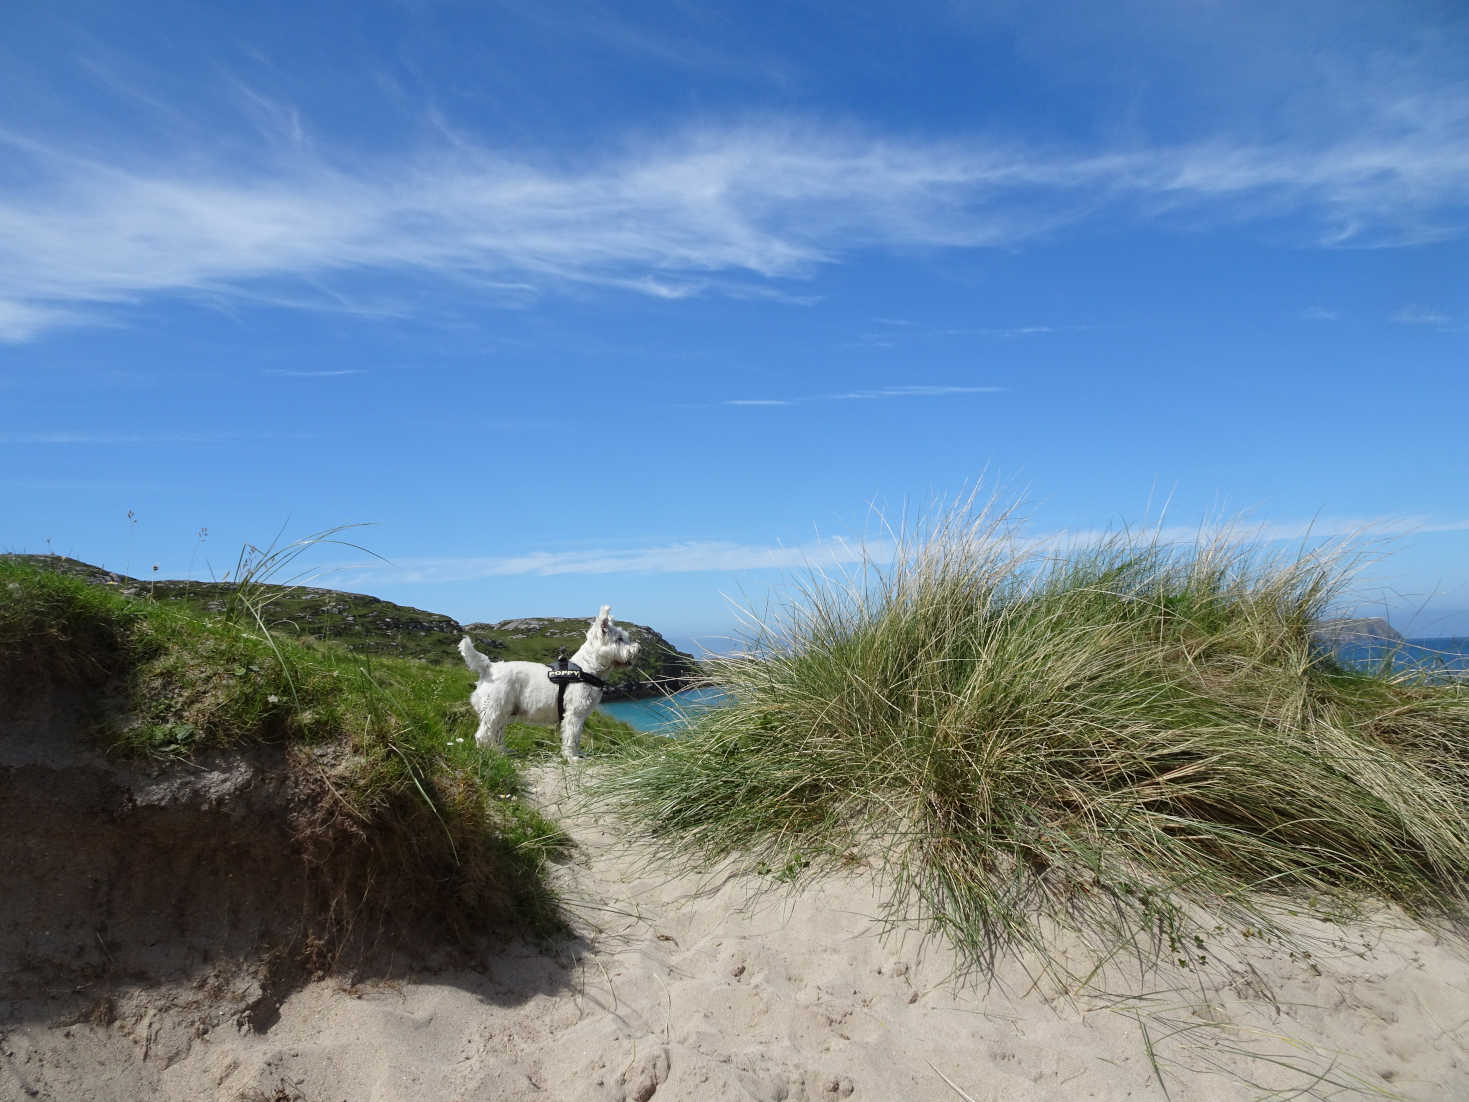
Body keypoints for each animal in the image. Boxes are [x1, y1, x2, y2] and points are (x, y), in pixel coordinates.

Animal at [455, 608, 640, 764]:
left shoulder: (580, 716)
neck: (588, 668)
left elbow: (577, 737)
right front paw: (572, 757)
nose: (637, 649)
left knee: (496, 735)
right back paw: (488, 756)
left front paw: (578, 754)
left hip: (503, 712)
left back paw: (503, 752)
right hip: (495, 709)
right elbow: (571, 736)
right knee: (482, 735)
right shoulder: (573, 714)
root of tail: (489, 668)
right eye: (619, 639)